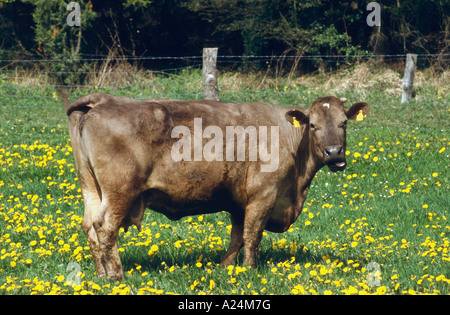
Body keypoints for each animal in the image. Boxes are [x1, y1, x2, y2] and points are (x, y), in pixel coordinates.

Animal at [60, 92, 370, 282]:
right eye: (313, 125)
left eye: (344, 123)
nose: (334, 153)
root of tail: (104, 100)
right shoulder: (263, 194)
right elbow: (252, 234)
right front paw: (250, 270)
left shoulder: (238, 202)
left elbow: (237, 236)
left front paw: (226, 267)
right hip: (120, 191)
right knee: (105, 228)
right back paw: (116, 276)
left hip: (91, 189)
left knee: (89, 226)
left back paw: (101, 275)